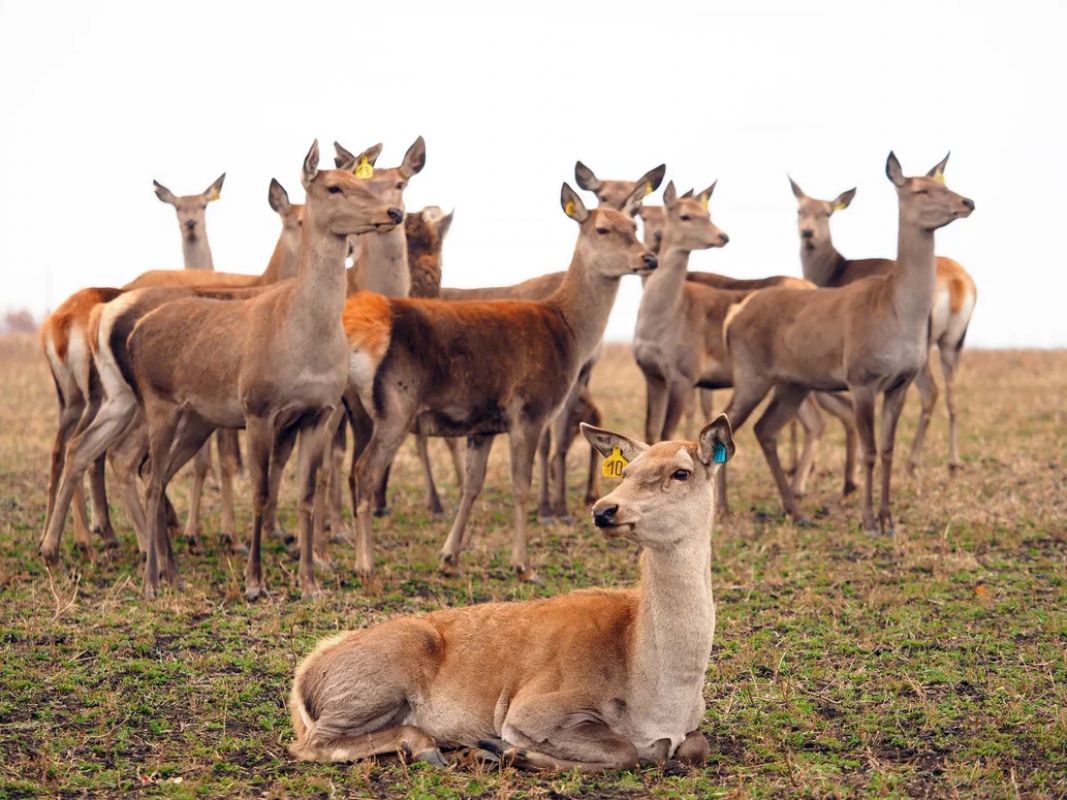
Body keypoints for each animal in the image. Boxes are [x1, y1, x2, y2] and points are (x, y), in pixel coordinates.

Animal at [38, 178, 305, 558]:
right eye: (296, 219)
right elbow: (221, 460)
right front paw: (227, 534)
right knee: (105, 455)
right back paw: (107, 537)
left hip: (82, 402)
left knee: (71, 450)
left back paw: (66, 539)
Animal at [285, 416, 734, 772]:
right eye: (626, 471)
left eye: (681, 472)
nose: (604, 509)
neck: (658, 696)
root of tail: (304, 678)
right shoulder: (535, 707)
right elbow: (624, 751)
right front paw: (502, 749)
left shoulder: (690, 728)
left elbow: (696, 746)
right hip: (374, 682)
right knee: (310, 744)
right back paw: (430, 747)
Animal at [341, 183, 657, 584]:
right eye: (603, 229)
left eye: (633, 225)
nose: (649, 258)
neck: (568, 334)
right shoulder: (529, 411)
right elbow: (520, 486)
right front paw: (523, 565)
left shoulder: (484, 425)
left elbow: (472, 486)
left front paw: (449, 557)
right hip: (396, 406)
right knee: (364, 471)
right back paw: (365, 565)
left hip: (360, 410)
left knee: (349, 470)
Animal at [789, 174, 977, 475]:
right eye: (799, 210)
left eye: (827, 213)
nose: (808, 234)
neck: (837, 269)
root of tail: (956, 282)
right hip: (952, 345)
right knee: (950, 396)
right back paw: (950, 461)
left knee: (930, 392)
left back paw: (913, 462)